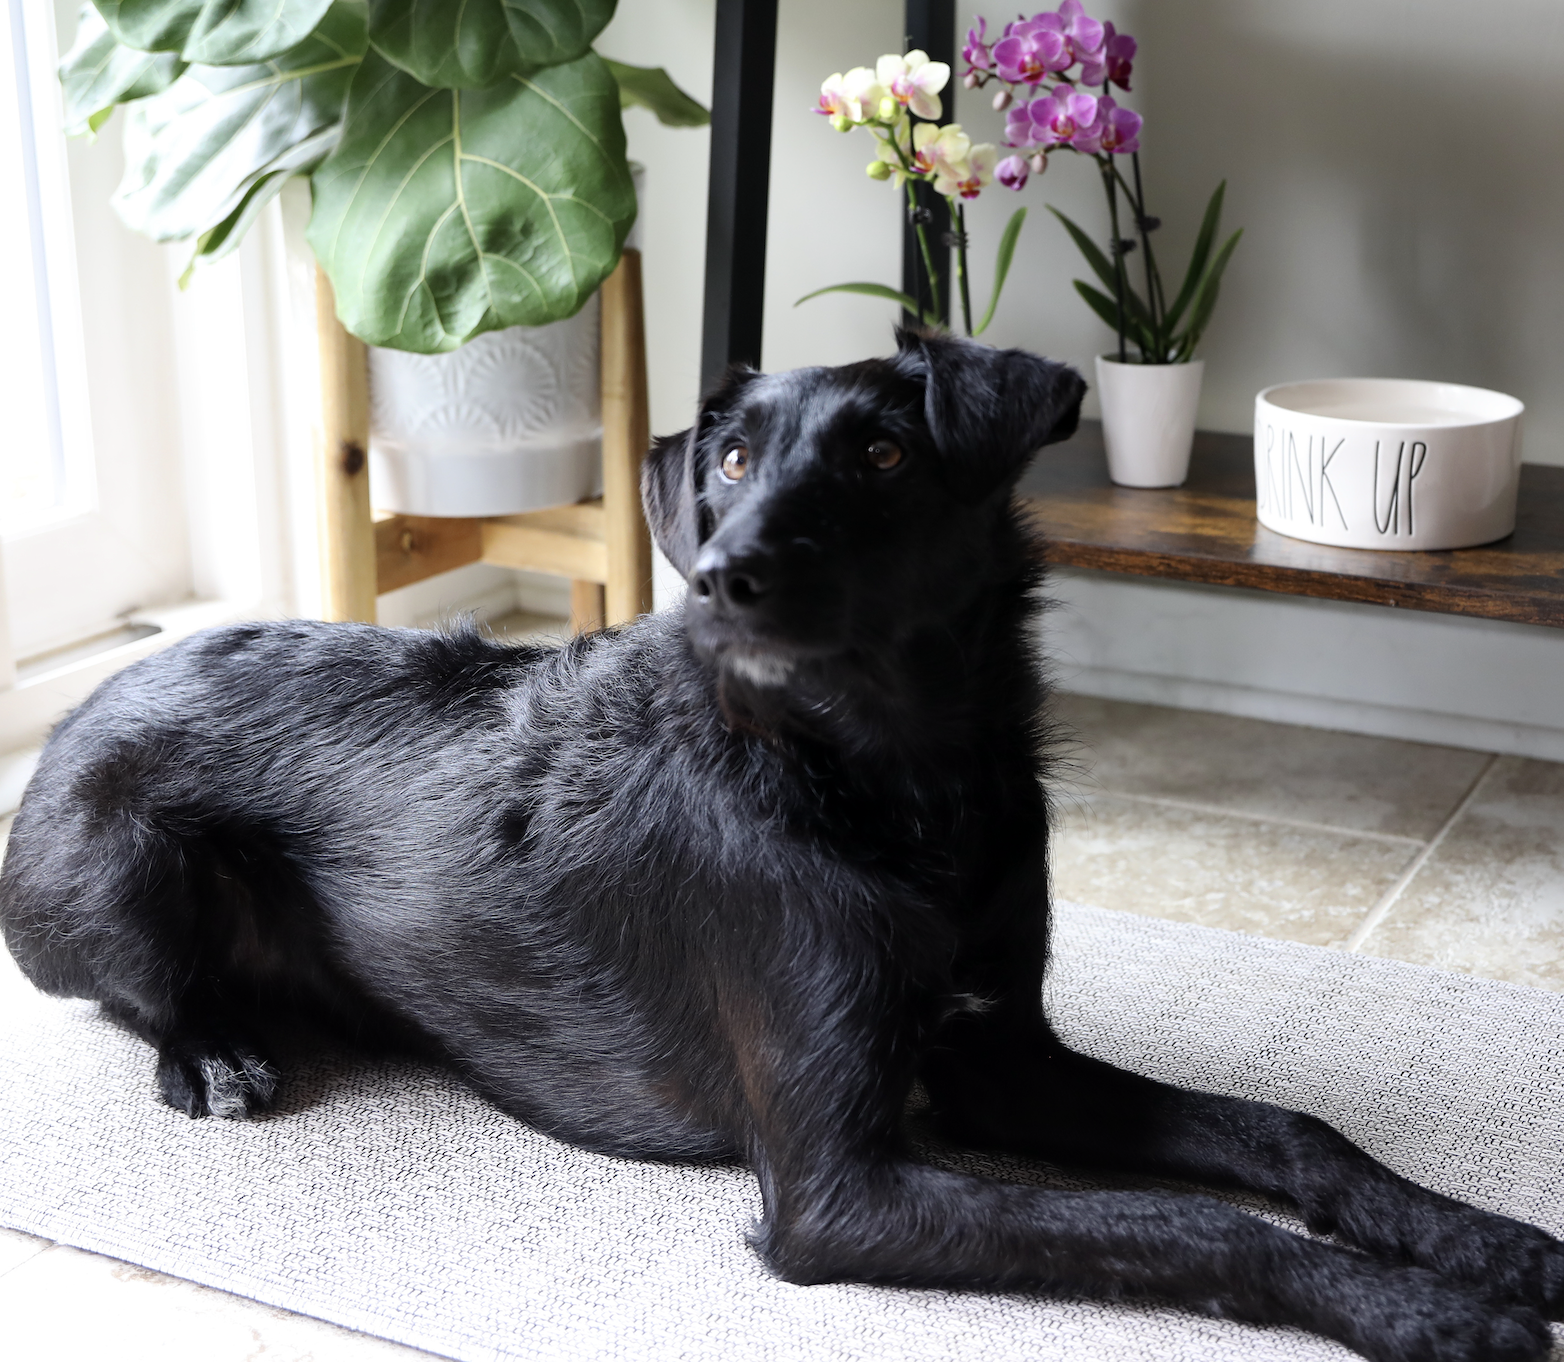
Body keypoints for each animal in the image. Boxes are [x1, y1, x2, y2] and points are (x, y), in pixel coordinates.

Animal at [0, 333, 1557, 1362]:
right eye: (734, 458)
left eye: (882, 451)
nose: (722, 571)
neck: (893, 783)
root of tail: (100, 693)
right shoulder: (837, 1191)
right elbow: (1200, 1229)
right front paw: (1430, 1313)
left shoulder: (1000, 1063)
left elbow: (1285, 1135)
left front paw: (1484, 1245)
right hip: (125, 870)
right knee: (143, 998)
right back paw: (212, 1052)